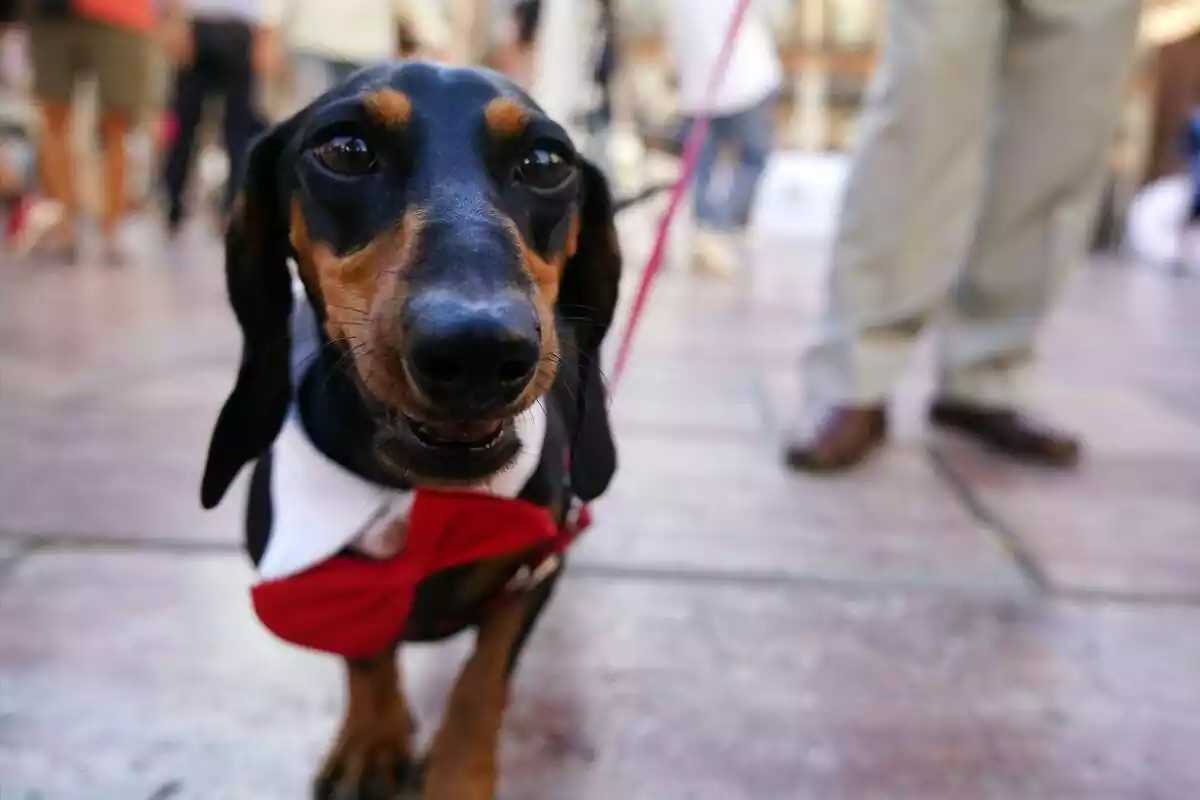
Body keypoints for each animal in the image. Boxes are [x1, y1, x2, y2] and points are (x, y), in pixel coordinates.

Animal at [199, 64, 619, 800]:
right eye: (344, 149)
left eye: (546, 162)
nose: (480, 349)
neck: (416, 495)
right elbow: (367, 655)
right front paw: (371, 743)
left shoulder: (534, 573)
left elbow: (483, 679)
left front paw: (456, 775)